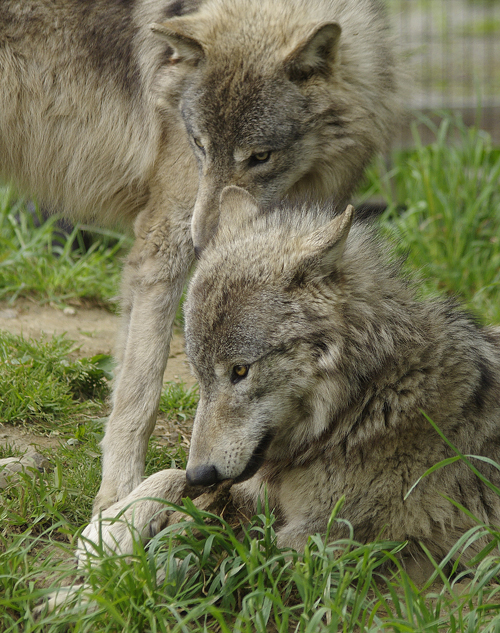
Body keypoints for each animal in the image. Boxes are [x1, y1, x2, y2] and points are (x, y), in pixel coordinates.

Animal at [0, 0, 402, 512]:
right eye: (199, 145)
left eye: (260, 156)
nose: (207, 241)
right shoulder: (164, 240)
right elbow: (140, 388)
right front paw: (116, 499)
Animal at [77, 188, 500, 584]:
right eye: (199, 376)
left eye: (240, 371)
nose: (203, 474)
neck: (368, 398)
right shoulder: (250, 483)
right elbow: (168, 475)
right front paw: (111, 529)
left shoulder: (321, 539)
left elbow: (219, 560)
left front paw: (99, 588)